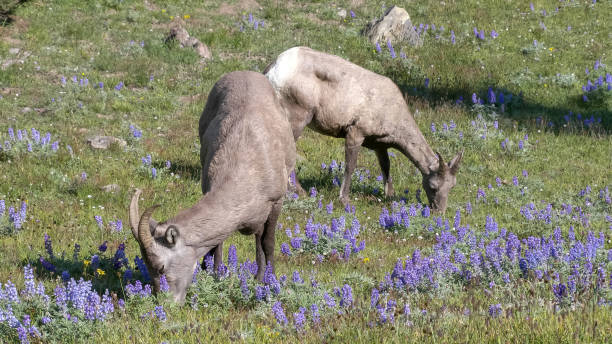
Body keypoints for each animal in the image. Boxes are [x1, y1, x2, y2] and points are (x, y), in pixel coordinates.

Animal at [128, 71, 296, 302]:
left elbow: (267, 243)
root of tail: (244, 73)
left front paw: (267, 281)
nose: (165, 303)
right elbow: (218, 243)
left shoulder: (276, 202)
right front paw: (215, 275)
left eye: (161, 267)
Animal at [266, 45, 462, 212]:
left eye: (452, 186)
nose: (439, 211)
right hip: (299, 117)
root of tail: (274, 70)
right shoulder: (355, 133)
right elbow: (350, 166)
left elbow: (386, 167)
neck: (393, 111)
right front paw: (344, 199)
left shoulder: (380, 146)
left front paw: (389, 196)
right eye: (433, 186)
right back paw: (299, 192)